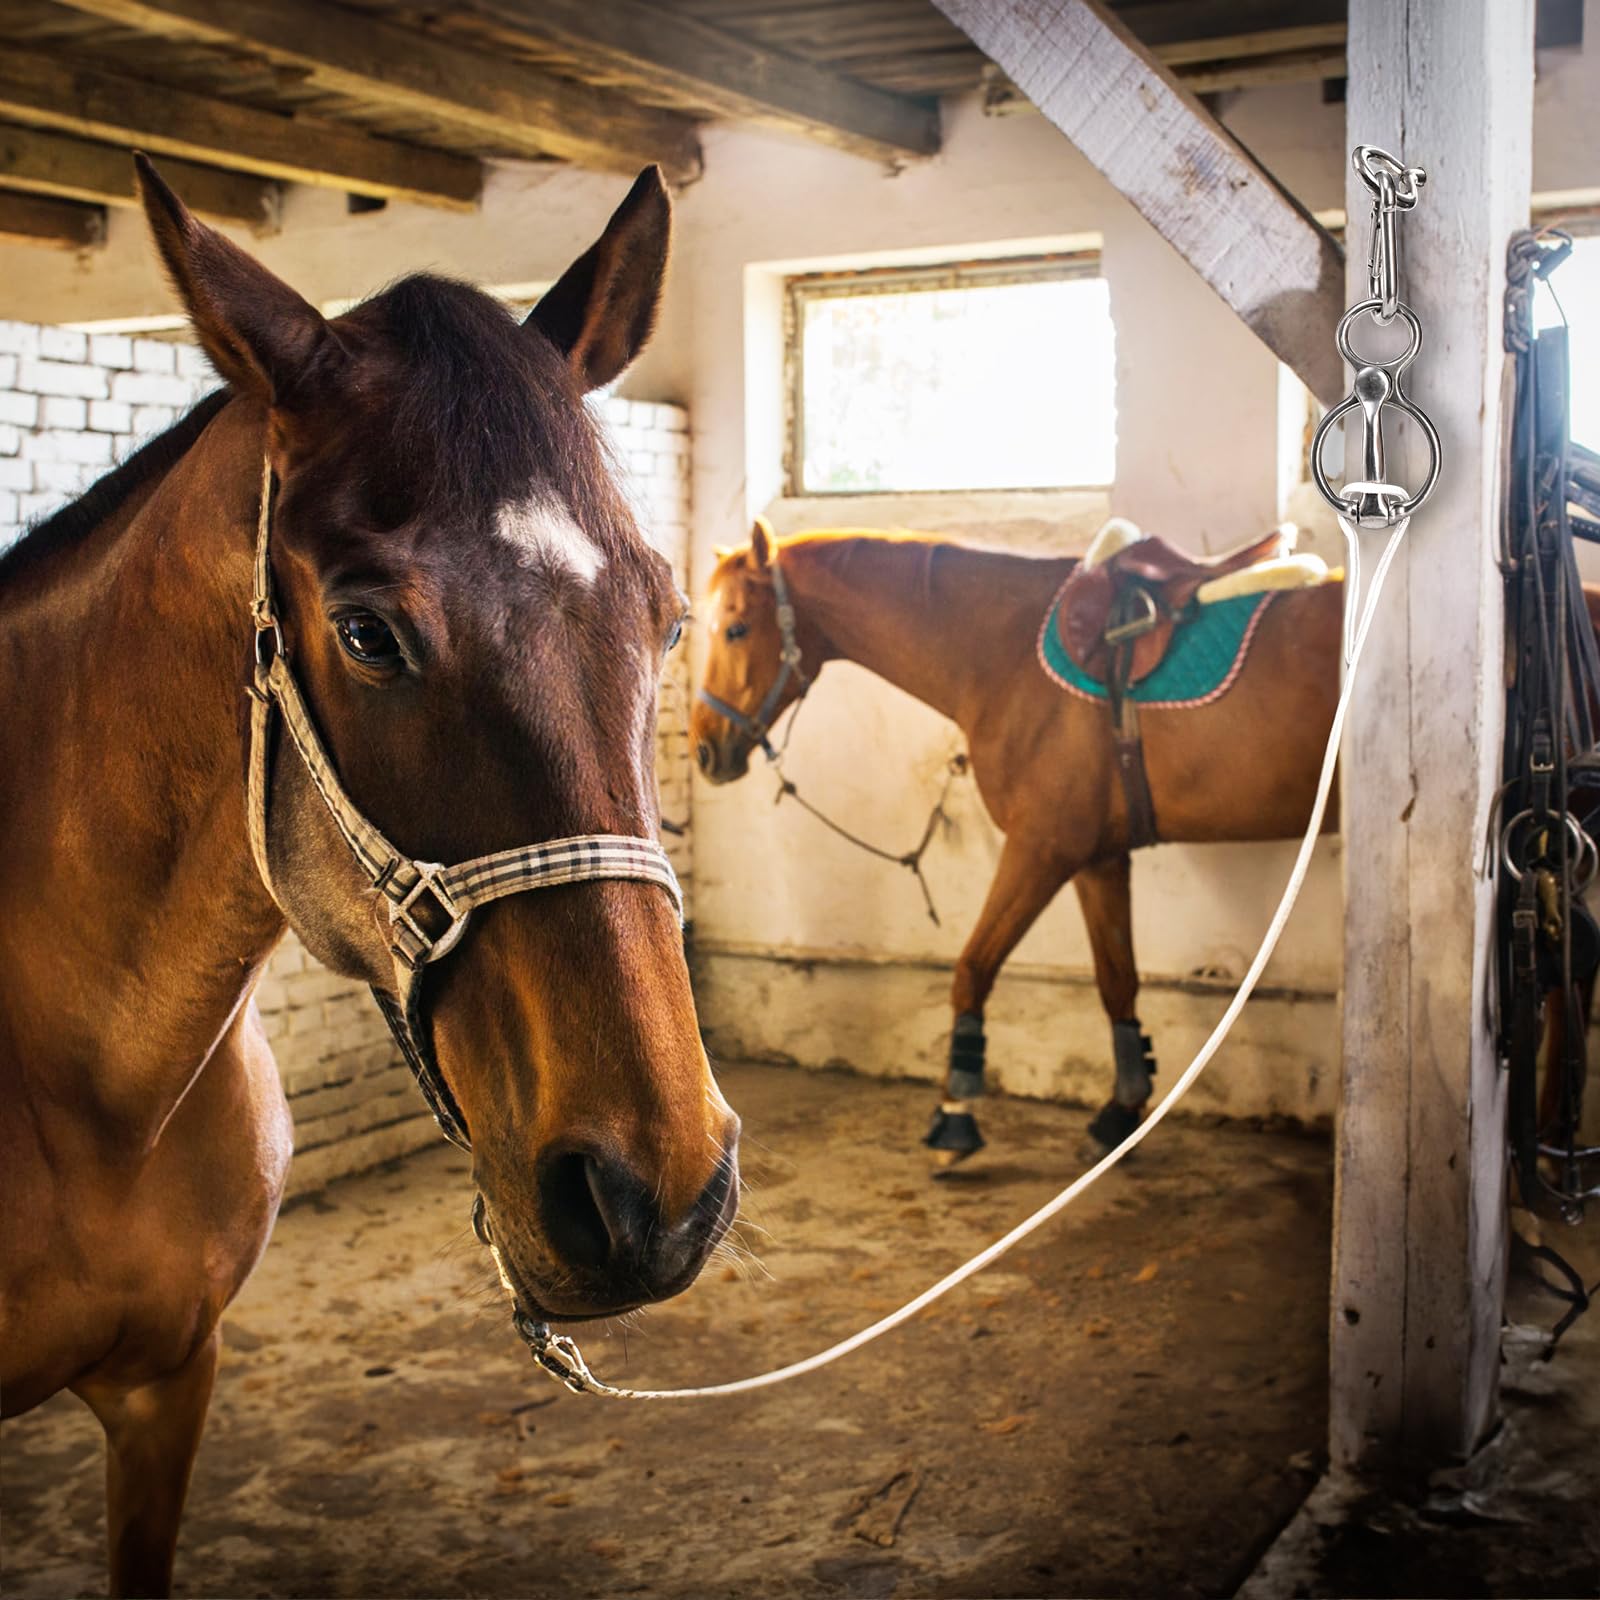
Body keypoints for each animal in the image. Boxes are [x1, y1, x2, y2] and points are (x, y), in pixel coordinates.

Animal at [690, 519, 1342, 1162]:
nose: (703, 749)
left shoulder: (1042, 849)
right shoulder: (1099, 859)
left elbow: (974, 967)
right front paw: (1120, 1112)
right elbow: (1117, 982)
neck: (1002, 656)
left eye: (736, 628)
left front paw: (955, 1112)